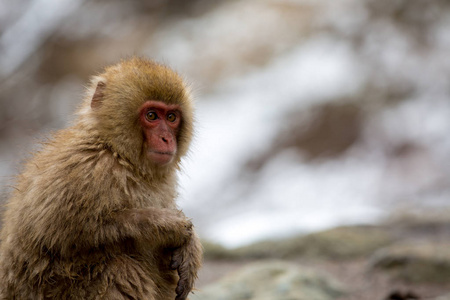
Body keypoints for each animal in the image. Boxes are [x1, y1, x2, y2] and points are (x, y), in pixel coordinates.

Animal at [0, 57, 202, 298]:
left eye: (171, 117)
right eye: (152, 115)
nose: (166, 139)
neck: (118, 153)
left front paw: (190, 247)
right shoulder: (86, 169)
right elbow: (63, 233)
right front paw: (165, 224)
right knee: (120, 269)